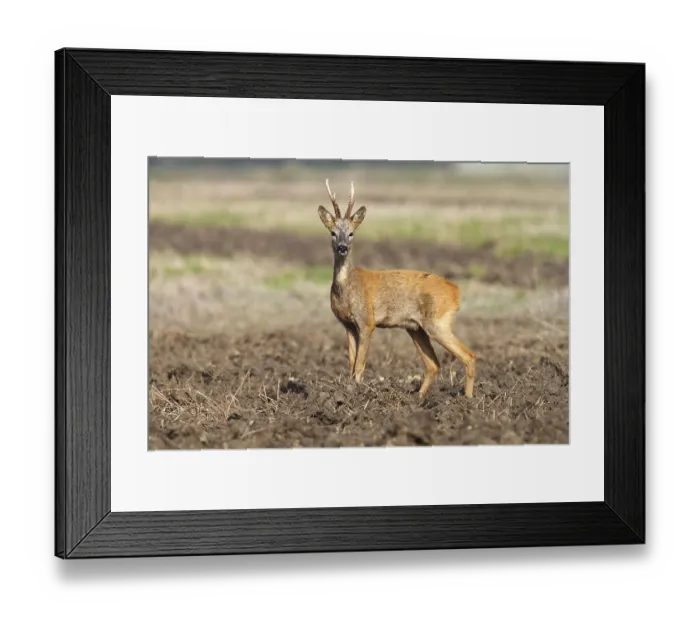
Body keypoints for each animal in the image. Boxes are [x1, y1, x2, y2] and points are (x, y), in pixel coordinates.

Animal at [317, 179, 476, 400]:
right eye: (333, 232)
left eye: (351, 233)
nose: (342, 247)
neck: (348, 289)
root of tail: (456, 292)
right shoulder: (347, 324)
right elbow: (351, 362)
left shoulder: (367, 321)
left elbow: (360, 365)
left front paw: (356, 393)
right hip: (415, 328)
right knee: (433, 364)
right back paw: (419, 398)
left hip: (438, 322)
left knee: (469, 356)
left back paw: (468, 399)